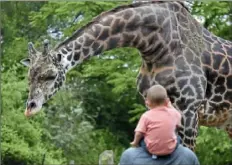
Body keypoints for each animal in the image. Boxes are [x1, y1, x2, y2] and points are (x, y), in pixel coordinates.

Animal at [20, 1, 231, 151]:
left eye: (50, 75)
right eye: (29, 77)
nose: (30, 108)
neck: (156, 46)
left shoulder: (189, 109)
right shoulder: (151, 106)